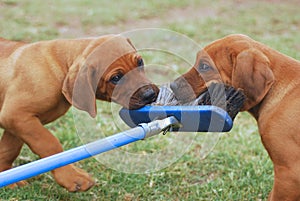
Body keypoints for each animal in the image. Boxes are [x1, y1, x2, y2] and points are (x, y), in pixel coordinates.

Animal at [0, 35, 159, 192]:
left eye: (140, 62)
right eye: (116, 78)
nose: (150, 95)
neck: (59, 66)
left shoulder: (16, 123)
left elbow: (9, 150)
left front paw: (7, 177)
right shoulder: (15, 115)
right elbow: (49, 143)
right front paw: (72, 177)